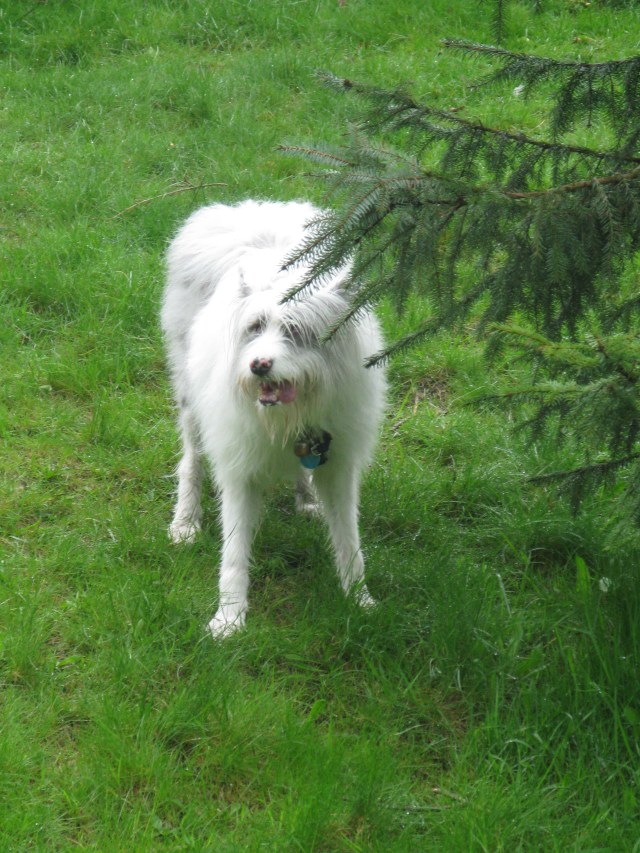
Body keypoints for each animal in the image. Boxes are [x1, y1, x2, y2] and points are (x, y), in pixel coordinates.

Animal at [161, 200, 386, 637]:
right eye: (255, 327)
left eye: (297, 331)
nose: (258, 365)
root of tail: (249, 216)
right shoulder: (237, 469)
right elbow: (233, 552)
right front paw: (229, 619)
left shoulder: (340, 467)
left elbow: (350, 542)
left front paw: (361, 601)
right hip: (190, 401)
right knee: (190, 459)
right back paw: (186, 522)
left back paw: (306, 498)